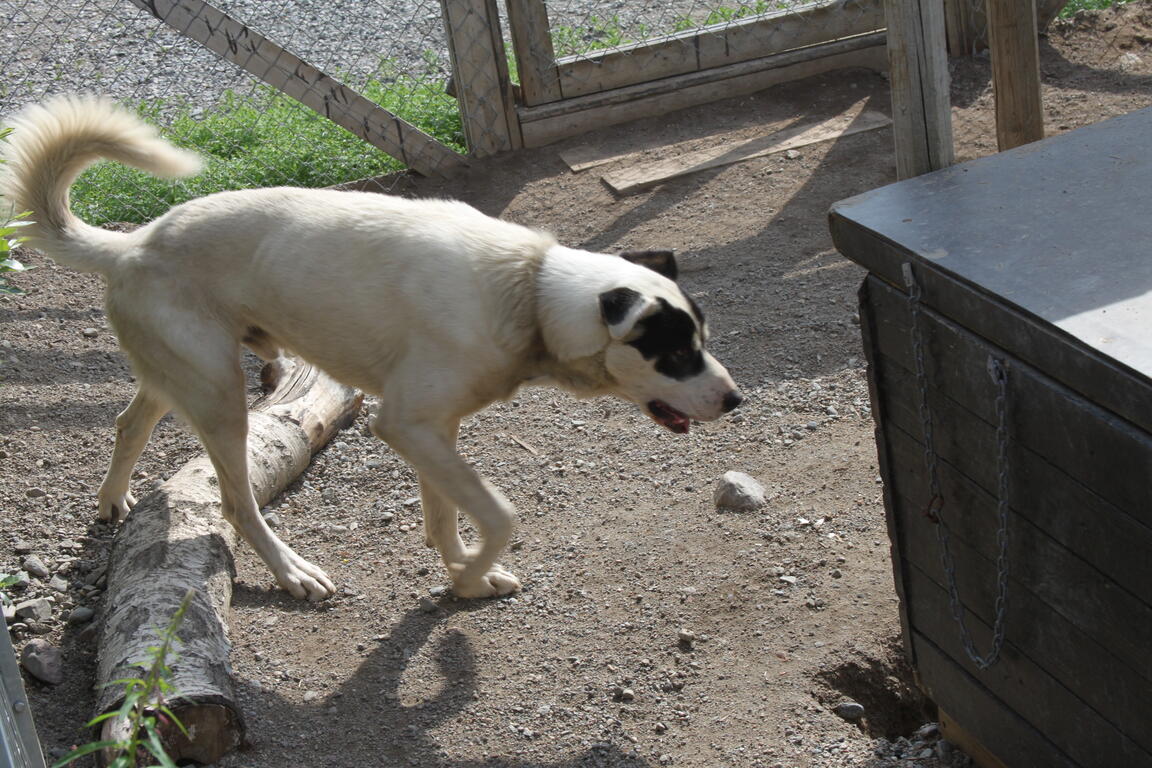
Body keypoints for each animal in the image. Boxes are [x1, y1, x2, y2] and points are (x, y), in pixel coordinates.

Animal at [4, 96, 741, 598]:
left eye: (702, 341)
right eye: (676, 355)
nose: (736, 400)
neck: (529, 292)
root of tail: (133, 244)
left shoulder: (432, 431)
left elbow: (445, 516)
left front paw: (464, 573)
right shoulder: (408, 425)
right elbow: (500, 515)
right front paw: (468, 577)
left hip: (181, 373)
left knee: (129, 421)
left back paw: (112, 499)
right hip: (219, 398)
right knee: (237, 504)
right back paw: (293, 572)